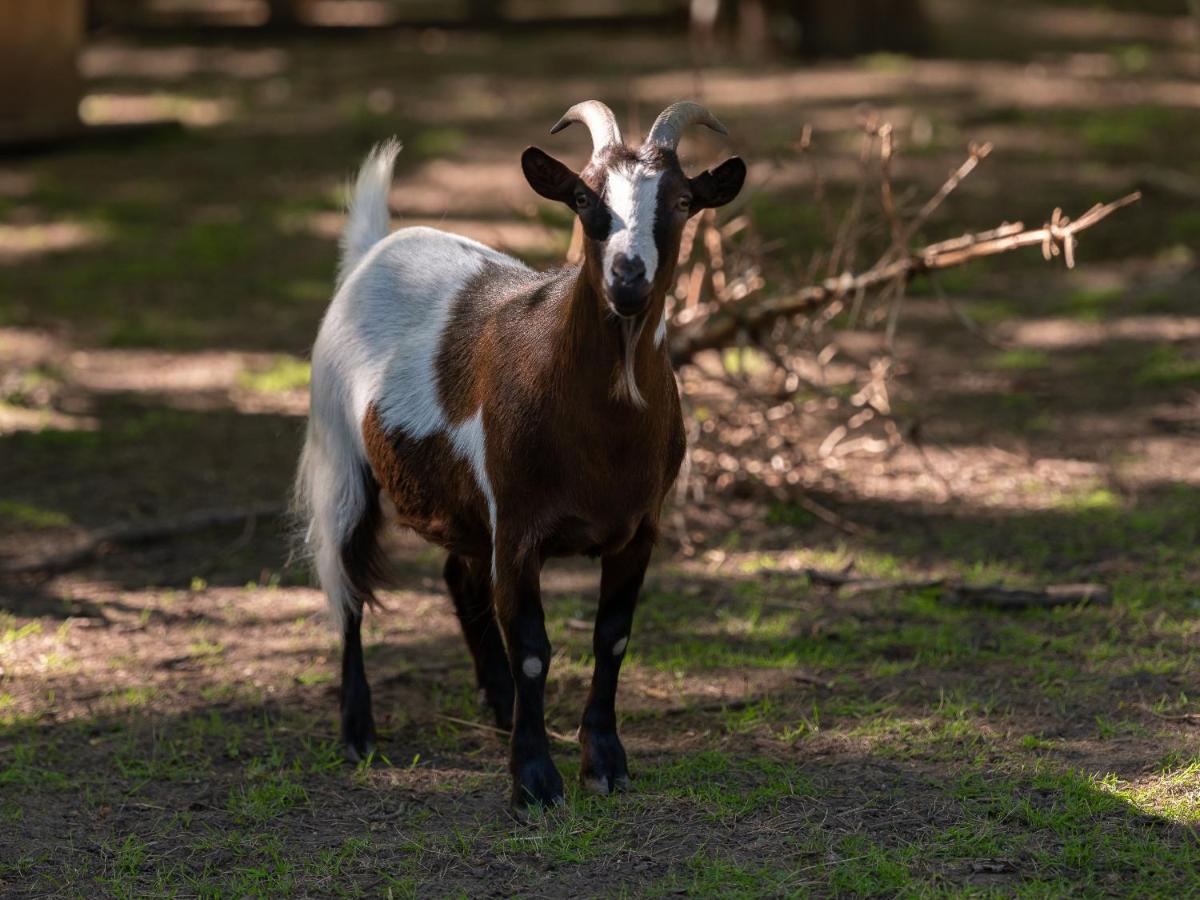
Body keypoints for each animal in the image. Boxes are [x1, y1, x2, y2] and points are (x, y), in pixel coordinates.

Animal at [292, 102, 739, 816]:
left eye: (682, 201)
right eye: (585, 198)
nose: (628, 280)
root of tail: (373, 250)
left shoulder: (639, 527)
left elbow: (612, 637)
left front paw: (603, 763)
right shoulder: (520, 523)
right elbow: (531, 647)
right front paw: (534, 781)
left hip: (467, 509)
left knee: (458, 577)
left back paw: (498, 705)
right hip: (339, 457)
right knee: (347, 584)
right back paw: (358, 732)